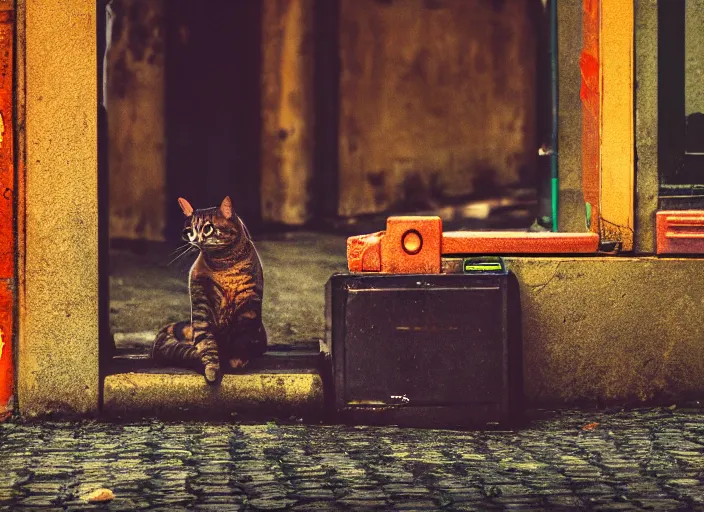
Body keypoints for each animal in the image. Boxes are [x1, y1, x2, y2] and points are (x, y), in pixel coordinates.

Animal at [151, 198, 266, 382]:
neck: (224, 265)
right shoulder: (201, 305)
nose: (197, 240)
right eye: (189, 231)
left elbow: (241, 338)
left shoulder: (248, 307)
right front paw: (211, 369)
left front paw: (237, 361)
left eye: (207, 228)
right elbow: (207, 343)